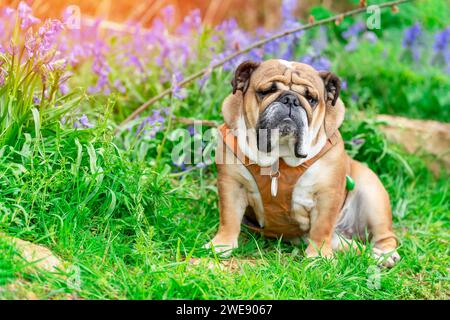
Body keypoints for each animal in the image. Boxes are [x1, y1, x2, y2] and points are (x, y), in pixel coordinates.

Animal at [206, 58, 400, 266]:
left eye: (311, 98)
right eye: (266, 91)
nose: (291, 99)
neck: (280, 157)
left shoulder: (327, 194)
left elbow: (322, 228)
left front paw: (319, 257)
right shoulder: (232, 184)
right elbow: (229, 218)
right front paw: (221, 245)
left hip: (373, 197)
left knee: (385, 236)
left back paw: (385, 255)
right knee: (349, 245)